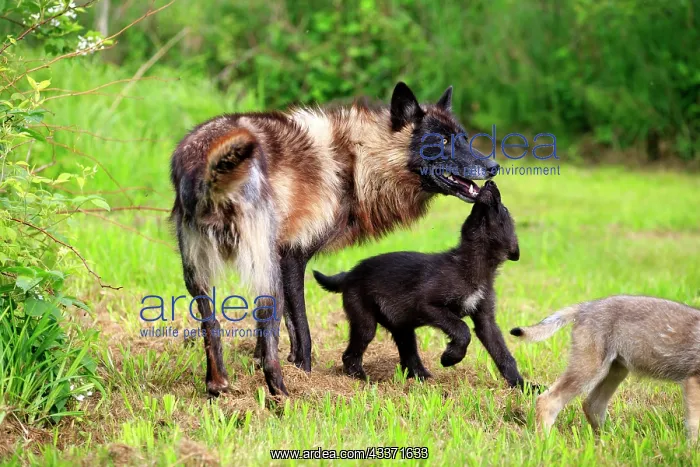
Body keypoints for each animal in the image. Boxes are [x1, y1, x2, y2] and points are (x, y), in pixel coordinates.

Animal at [170, 82, 499, 396]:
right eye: (442, 142)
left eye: (463, 138)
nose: (493, 166)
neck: (357, 163)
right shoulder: (291, 258)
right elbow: (301, 330)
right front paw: (304, 375)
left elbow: (282, 333)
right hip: (267, 278)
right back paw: (282, 396)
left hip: (200, 281)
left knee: (212, 328)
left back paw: (217, 386)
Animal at [312, 181, 528, 389]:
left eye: (504, 208)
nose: (490, 182)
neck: (471, 263)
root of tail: (348, 275)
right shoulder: (427, 305)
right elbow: (462, 329)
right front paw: (450, 358)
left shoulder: (486, 321)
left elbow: (503, 354)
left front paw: (522, 385)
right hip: (365, 322)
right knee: (350, 355)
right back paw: (363, 380)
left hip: (402, 327)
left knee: (409, 357)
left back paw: (423, 379)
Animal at [511, 295, 700, 439]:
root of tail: (585, 306)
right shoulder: (693, 381)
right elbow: (695, 426)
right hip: (589, 370)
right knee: (547, 400)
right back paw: (545, 442)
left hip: (614, 371)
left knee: (592, 405)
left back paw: (607, 440)